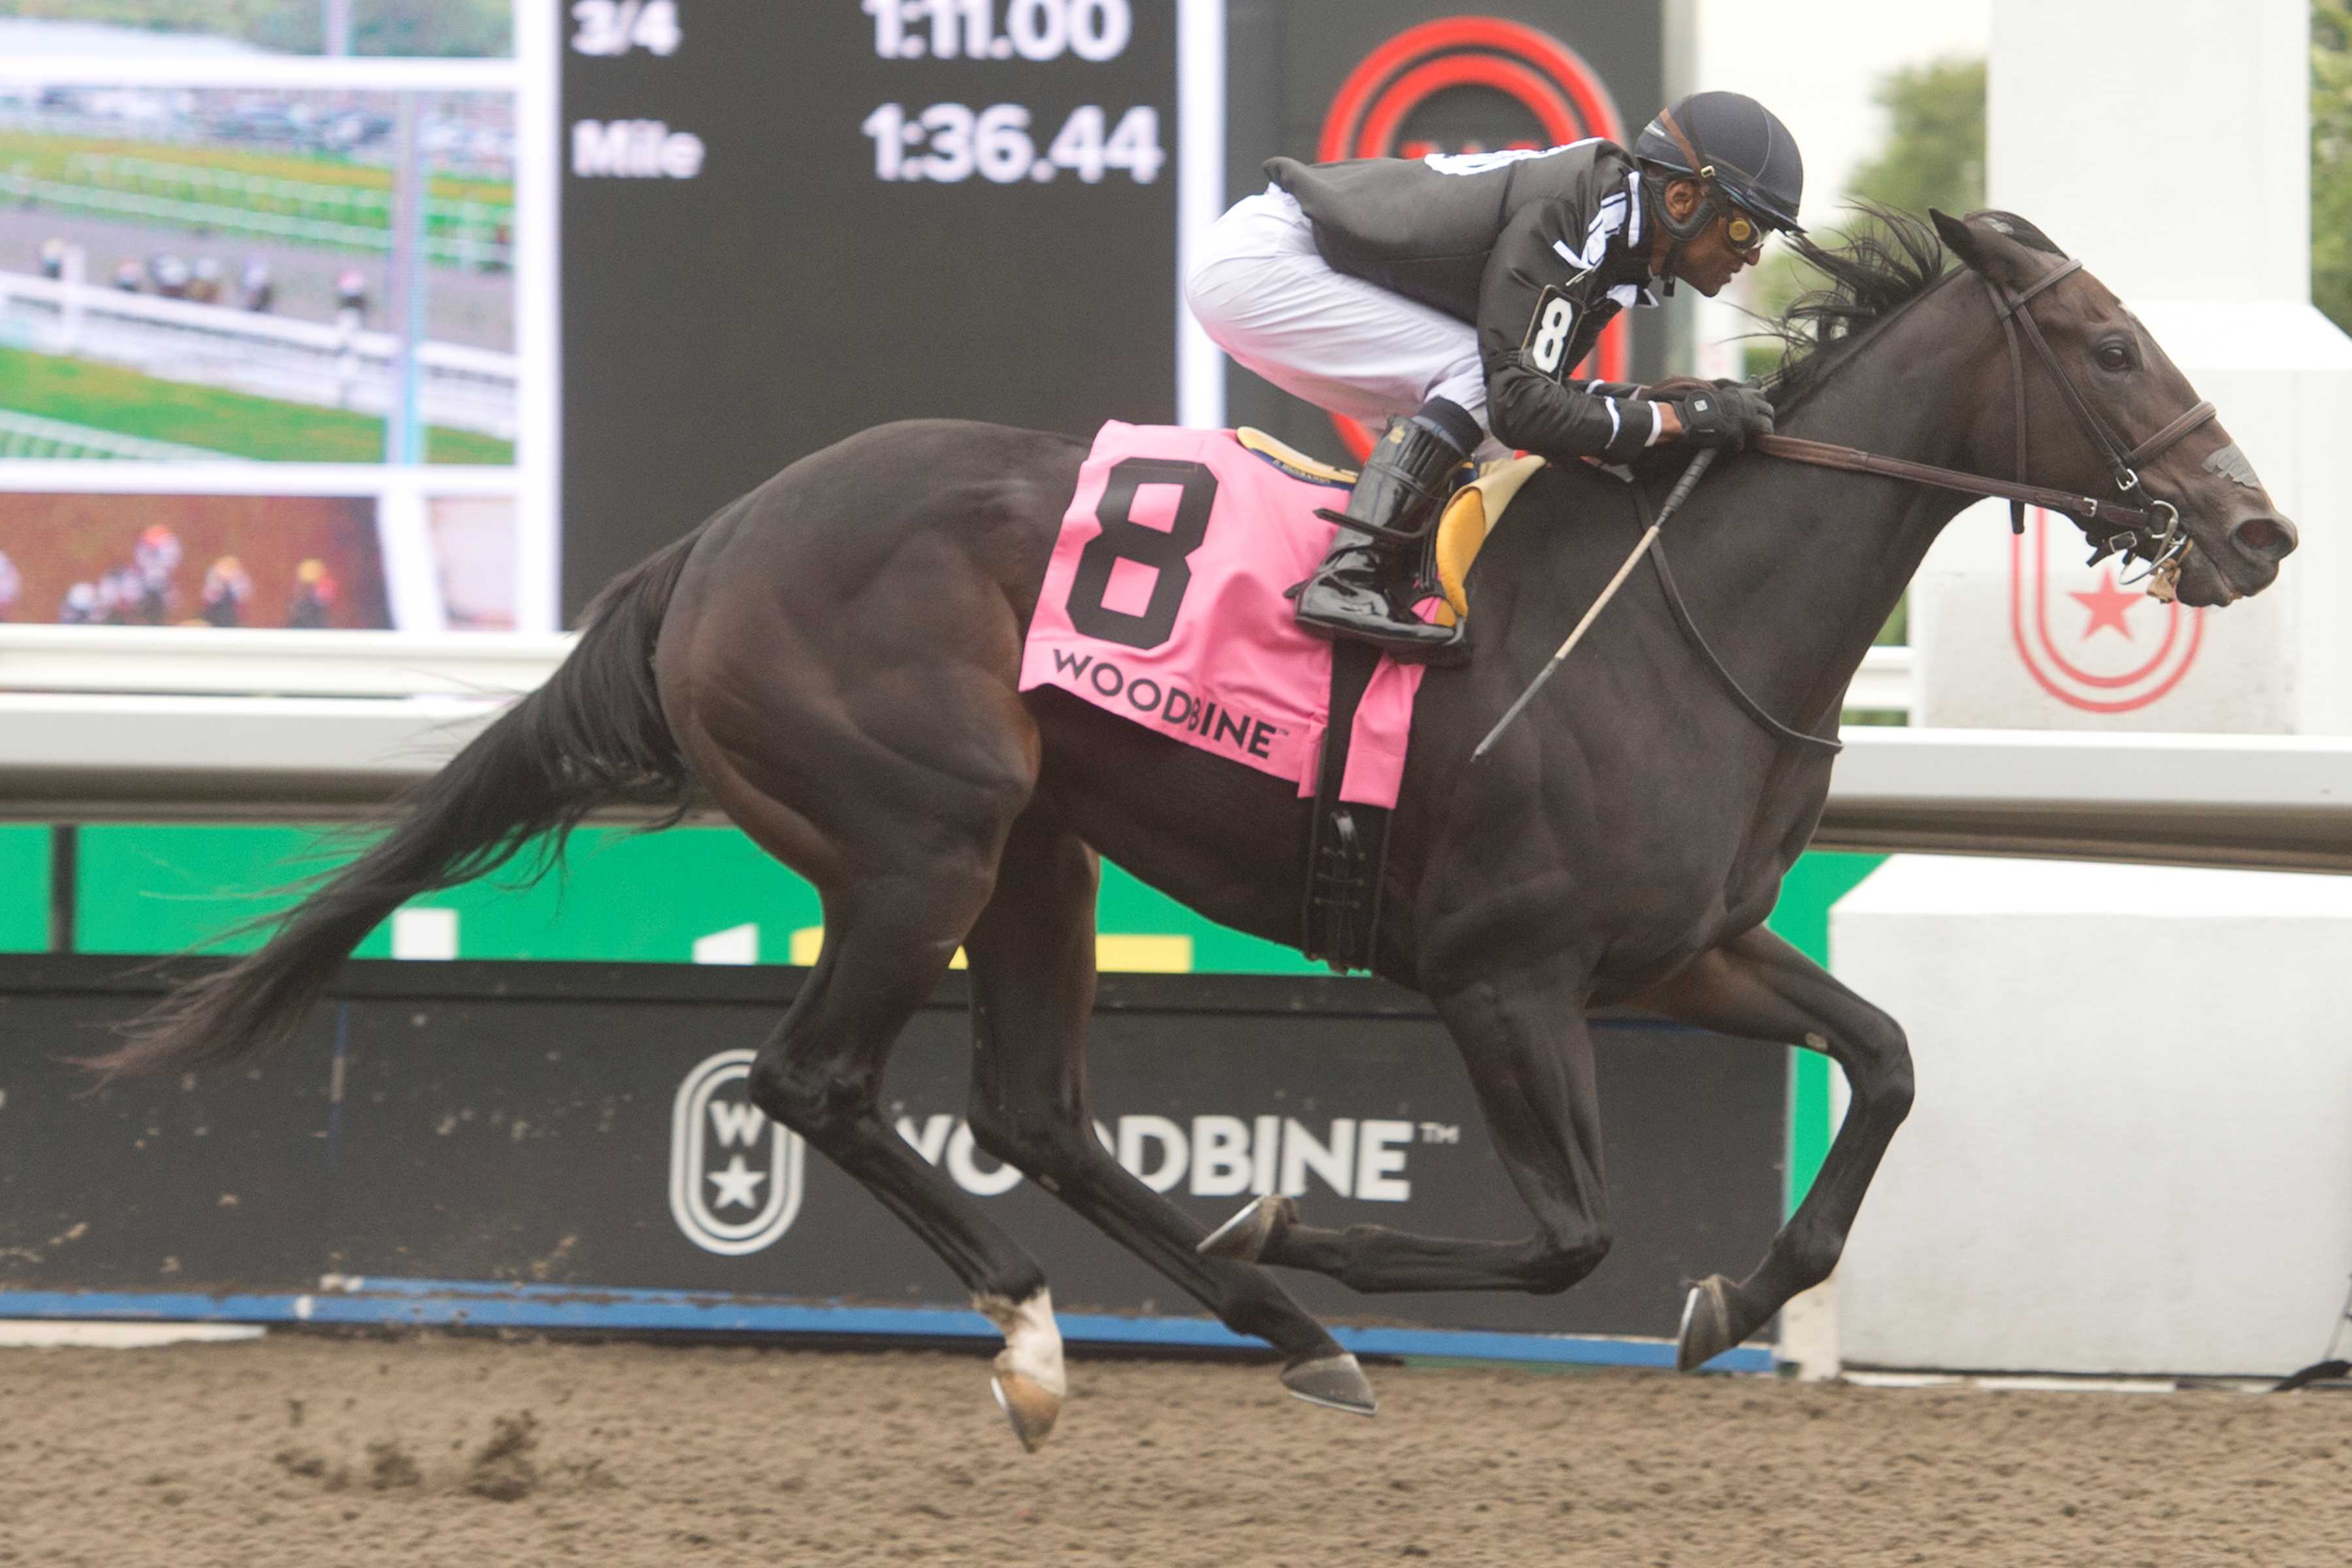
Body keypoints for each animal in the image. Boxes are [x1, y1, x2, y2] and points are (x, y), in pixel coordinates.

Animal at [96, 208, 2295, 1448]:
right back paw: (1062, 1335)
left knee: (1038, 1105)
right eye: (2111, 346)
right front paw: (1300, 1214)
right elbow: (1571, 1231)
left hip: (1041, 851)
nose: (2260, 529)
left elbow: (1892, 1057)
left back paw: (1277, 1330)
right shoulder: (1508, 977)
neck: (1698, 607)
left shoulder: (1682, 946)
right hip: (924, 840)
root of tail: (709, 543)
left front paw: (1740, 1296)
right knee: (820, 1084)